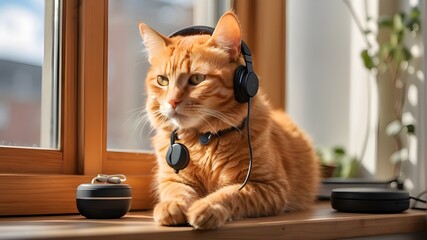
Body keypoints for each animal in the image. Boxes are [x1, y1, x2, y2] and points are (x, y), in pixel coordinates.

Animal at [139, 12, 320, 230]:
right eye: (162, 80)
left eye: (197, 79)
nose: (172, 101)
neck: (203, 140)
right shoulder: (170, 179)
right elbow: (178, 191)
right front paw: (172, 205)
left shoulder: (268, 186)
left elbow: (229, 194)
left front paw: (207, 207)